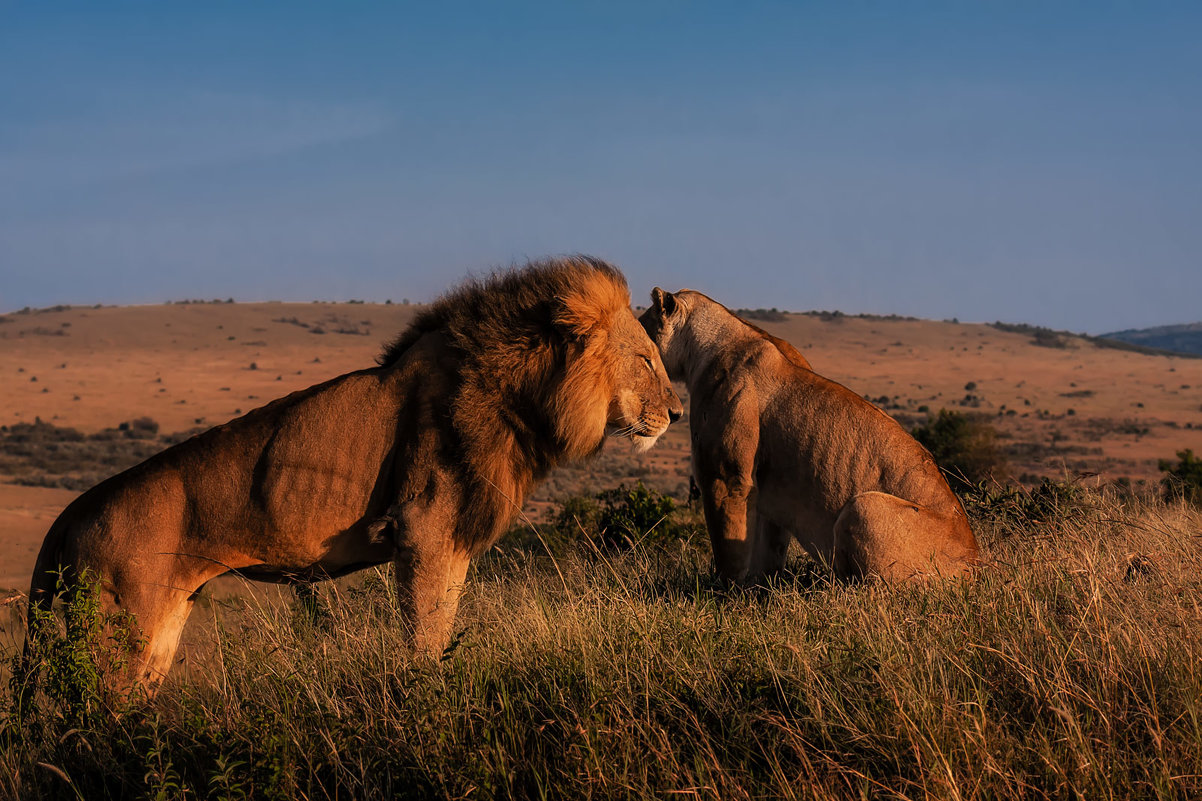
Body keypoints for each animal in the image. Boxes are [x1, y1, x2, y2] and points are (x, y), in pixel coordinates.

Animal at [28, 257, 682, 692]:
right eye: (646, 359)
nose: (677, 414)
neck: (523, 394)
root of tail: (72, 510)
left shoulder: (449, 543)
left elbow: (443, 622)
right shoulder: (424, 529)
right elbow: (426, 634)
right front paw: (427, 694)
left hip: (161, 626)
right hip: (118, 624)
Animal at [639, 287, 976, 579]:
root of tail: (977, 565)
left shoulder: (725, 477)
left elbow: (728, 549)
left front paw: (723, 595)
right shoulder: (768, 493)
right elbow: (766, 553)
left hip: (864, 506)